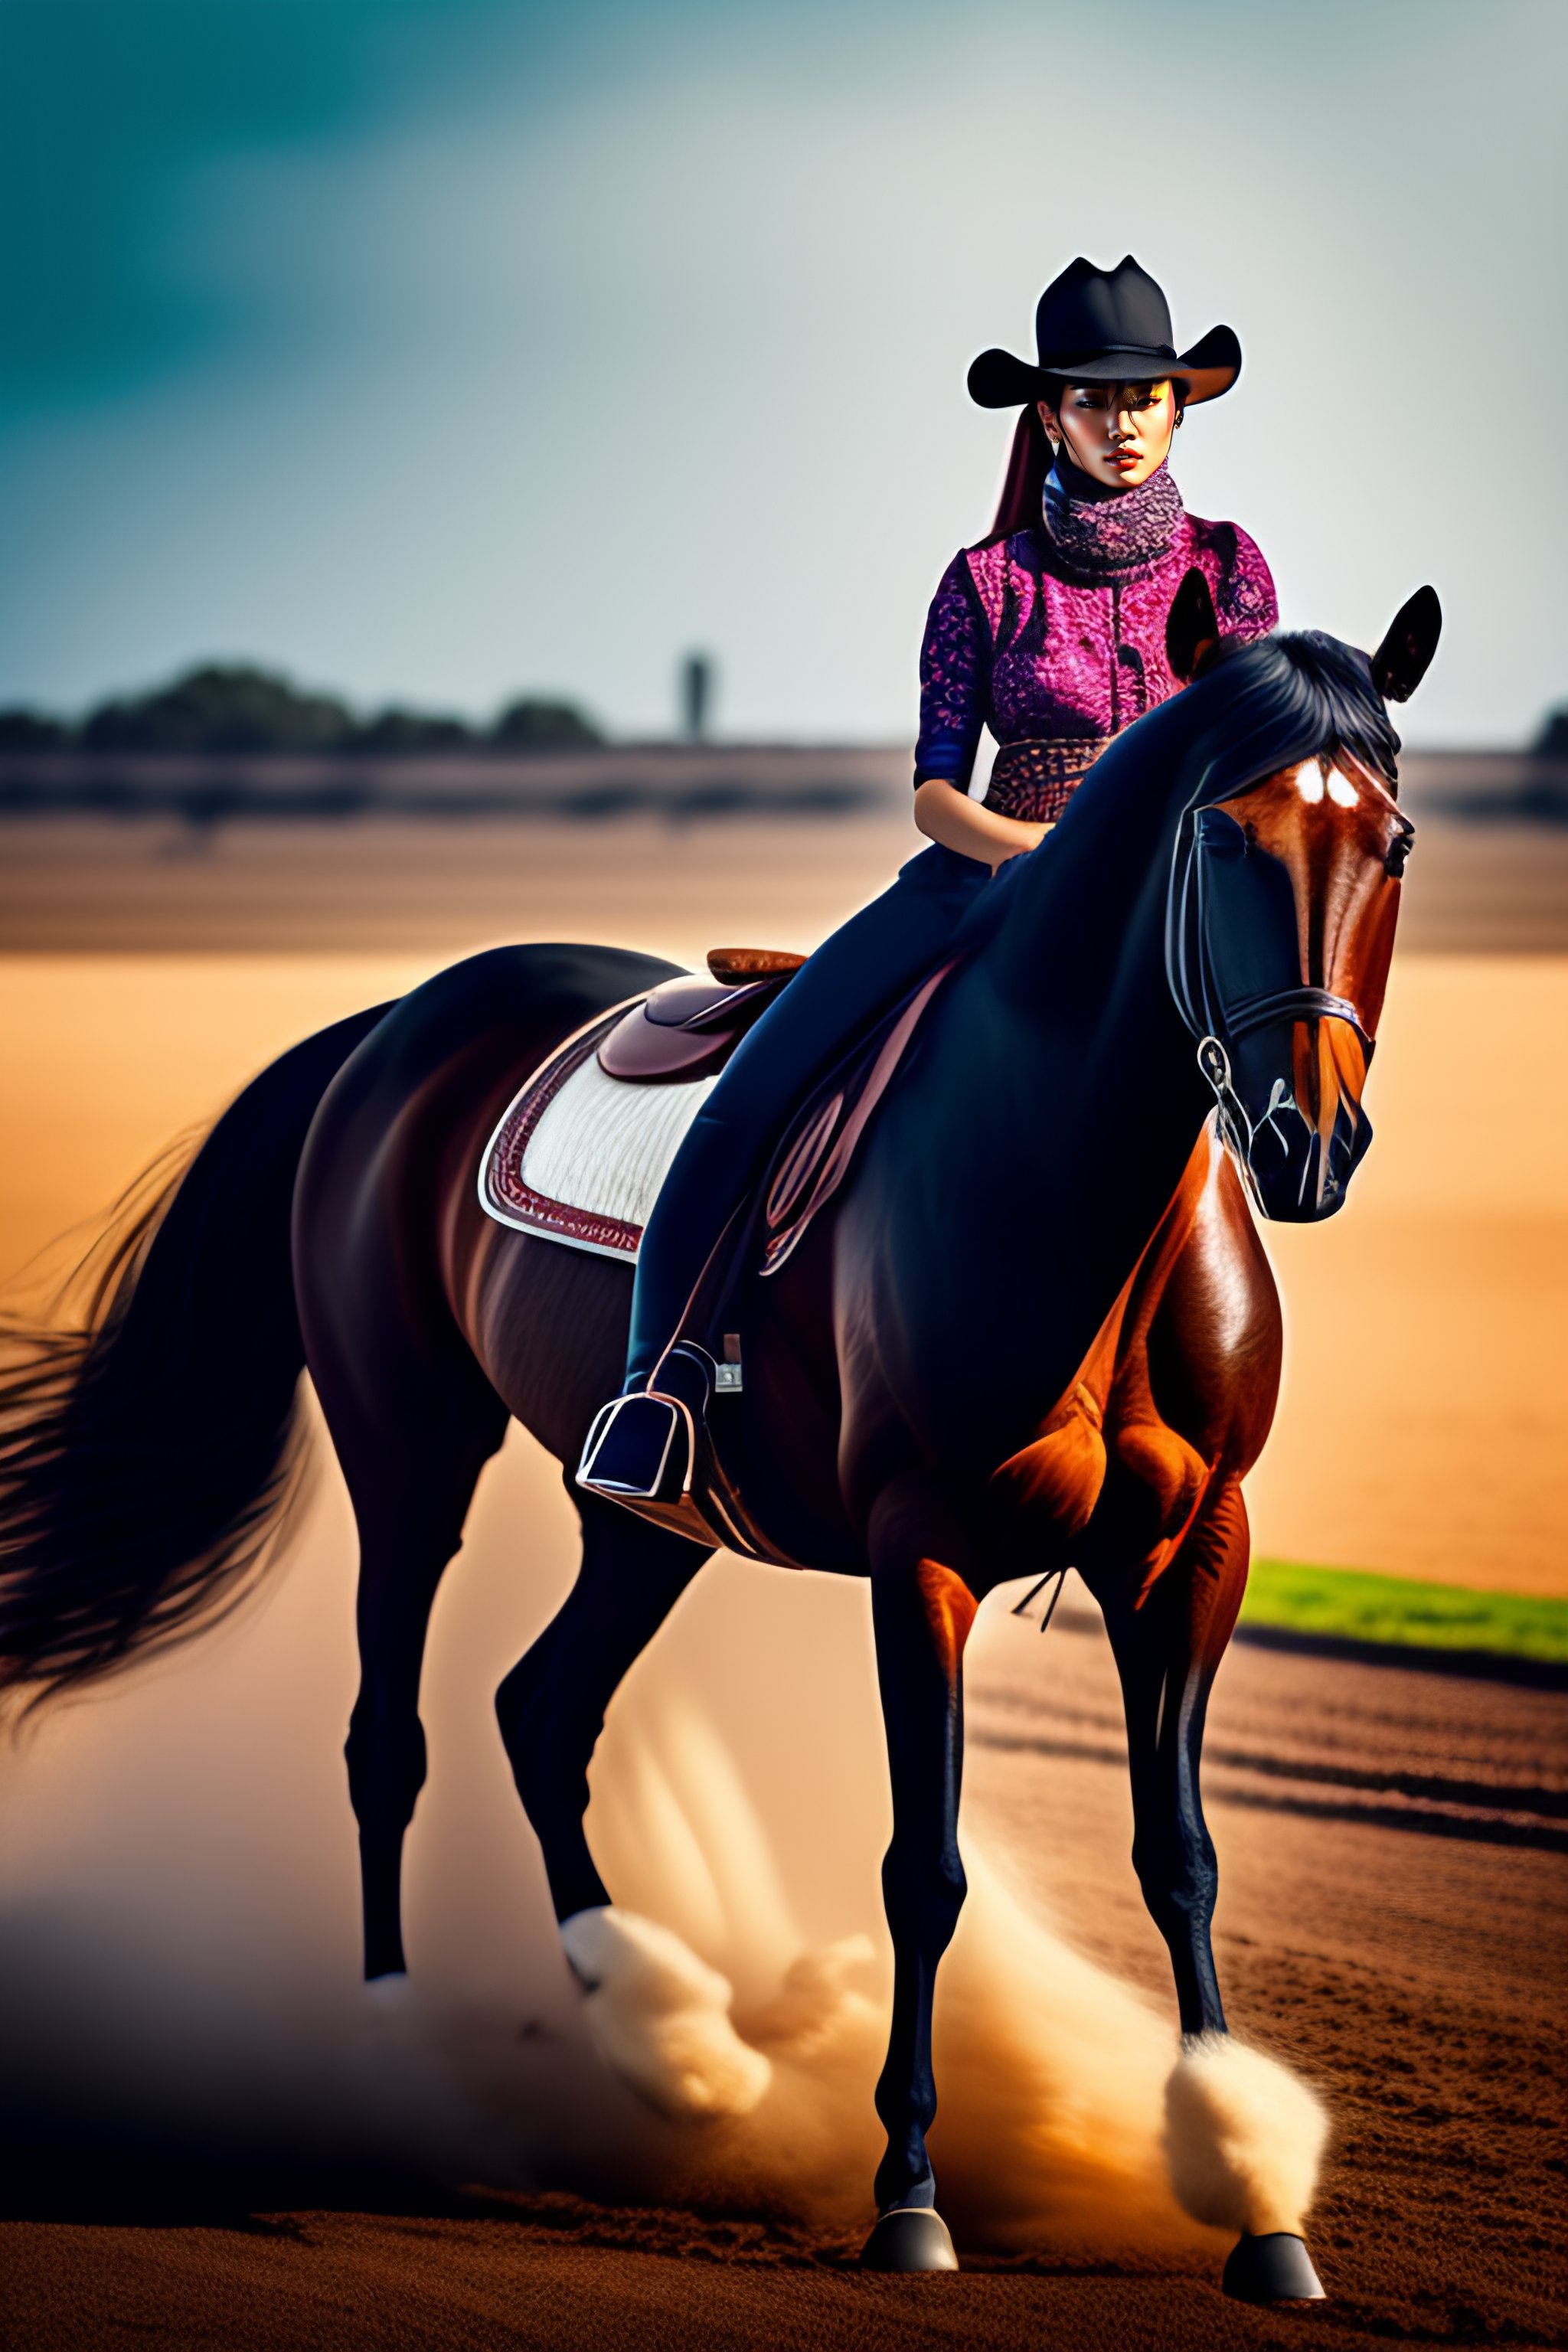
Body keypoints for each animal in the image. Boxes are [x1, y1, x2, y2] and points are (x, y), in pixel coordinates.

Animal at [0, 581, 1440, 2303]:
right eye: (1221, 837)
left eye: (1394, 842)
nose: (1307, 1142)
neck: (1078, 1190)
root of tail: (392, 1020)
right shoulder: (920, 1551)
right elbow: (921, 1866)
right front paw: (908, 2195)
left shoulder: (1189, 1553)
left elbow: (1182, 1853)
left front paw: (1252, 2193)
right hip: (410, 1450)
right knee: (387, 1735)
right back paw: (405, 2049)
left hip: (643, 1514)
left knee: (540, 1711)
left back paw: (670, 2035)